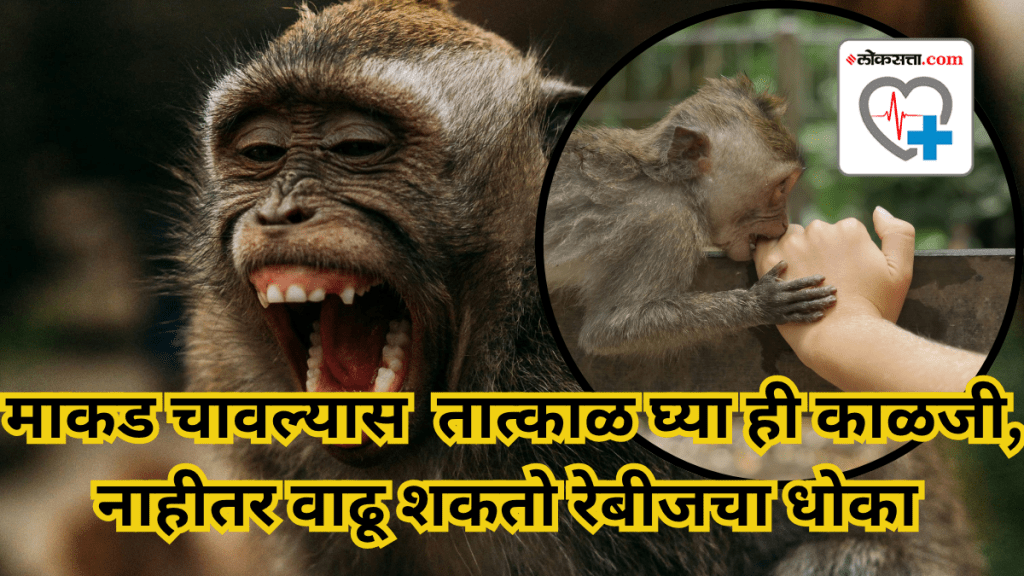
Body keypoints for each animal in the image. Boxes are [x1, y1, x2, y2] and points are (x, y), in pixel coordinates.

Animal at [543, 76, 838, 356]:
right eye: (781, 186)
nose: (785, 224)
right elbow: (610, 327)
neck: (677, 184)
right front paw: (761, 302)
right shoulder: (668, 225)